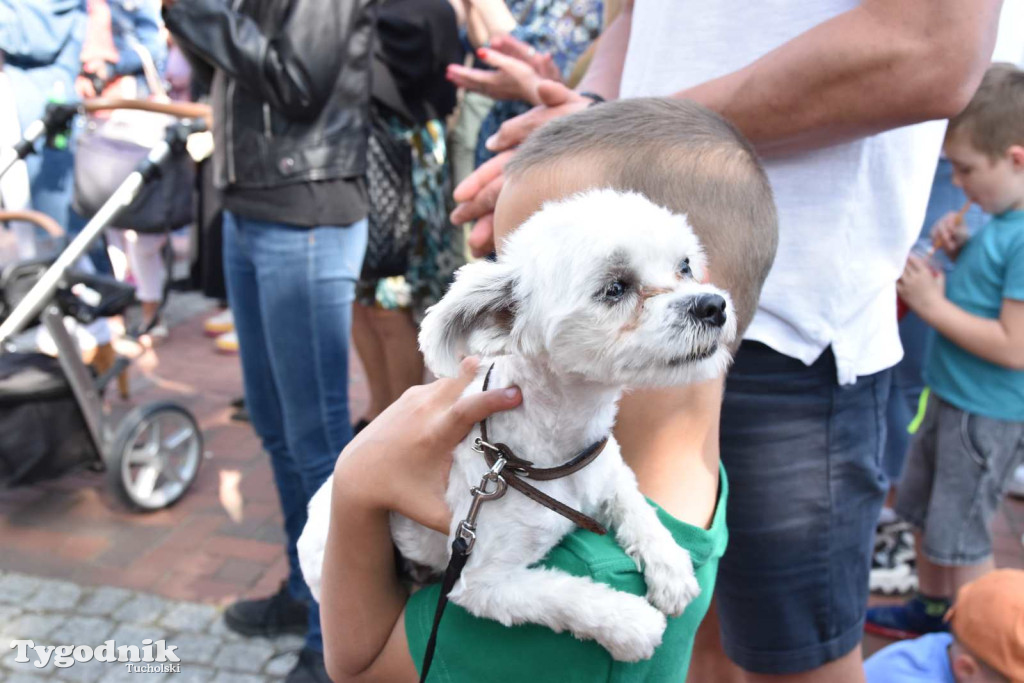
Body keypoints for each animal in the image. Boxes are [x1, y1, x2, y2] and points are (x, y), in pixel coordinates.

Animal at [296, 188, 737, 663]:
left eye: (685, 266)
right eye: (615, 287)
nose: (712, 305)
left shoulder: (609, 469)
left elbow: (636, 504)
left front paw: (670, 566)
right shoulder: (478, 580)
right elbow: (568, 596)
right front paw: (632, 625)